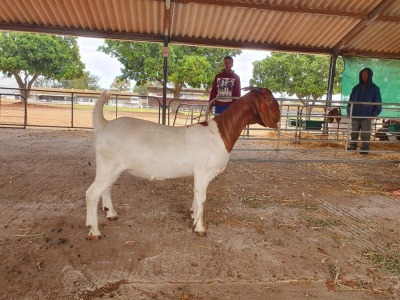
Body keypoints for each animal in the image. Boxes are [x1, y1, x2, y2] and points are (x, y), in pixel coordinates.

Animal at [86, 86, 280, 239]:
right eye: (270, 99)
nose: (278, 118)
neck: (220, 133)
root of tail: (104, 125)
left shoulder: (199, 174)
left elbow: (196, 196)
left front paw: (193, 216)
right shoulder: (203, 171)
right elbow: (202, 198)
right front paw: (200, 228)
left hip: (112, 168)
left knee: (106, 189)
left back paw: (111, 214)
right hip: (108, 165)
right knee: (92, 193)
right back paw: (94, 231)